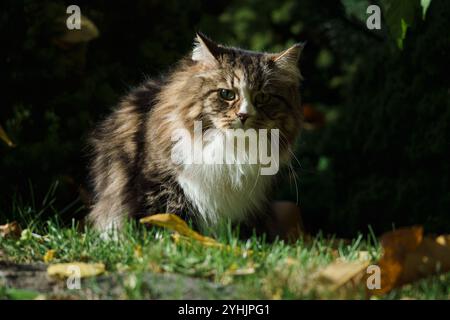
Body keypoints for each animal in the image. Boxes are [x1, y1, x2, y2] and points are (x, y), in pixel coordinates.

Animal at [87, 33, 302, 238]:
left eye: (263, 97)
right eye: (227, 94)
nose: (243, 115)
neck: (231, 151)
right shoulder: (160, 186)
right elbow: (165, 220)